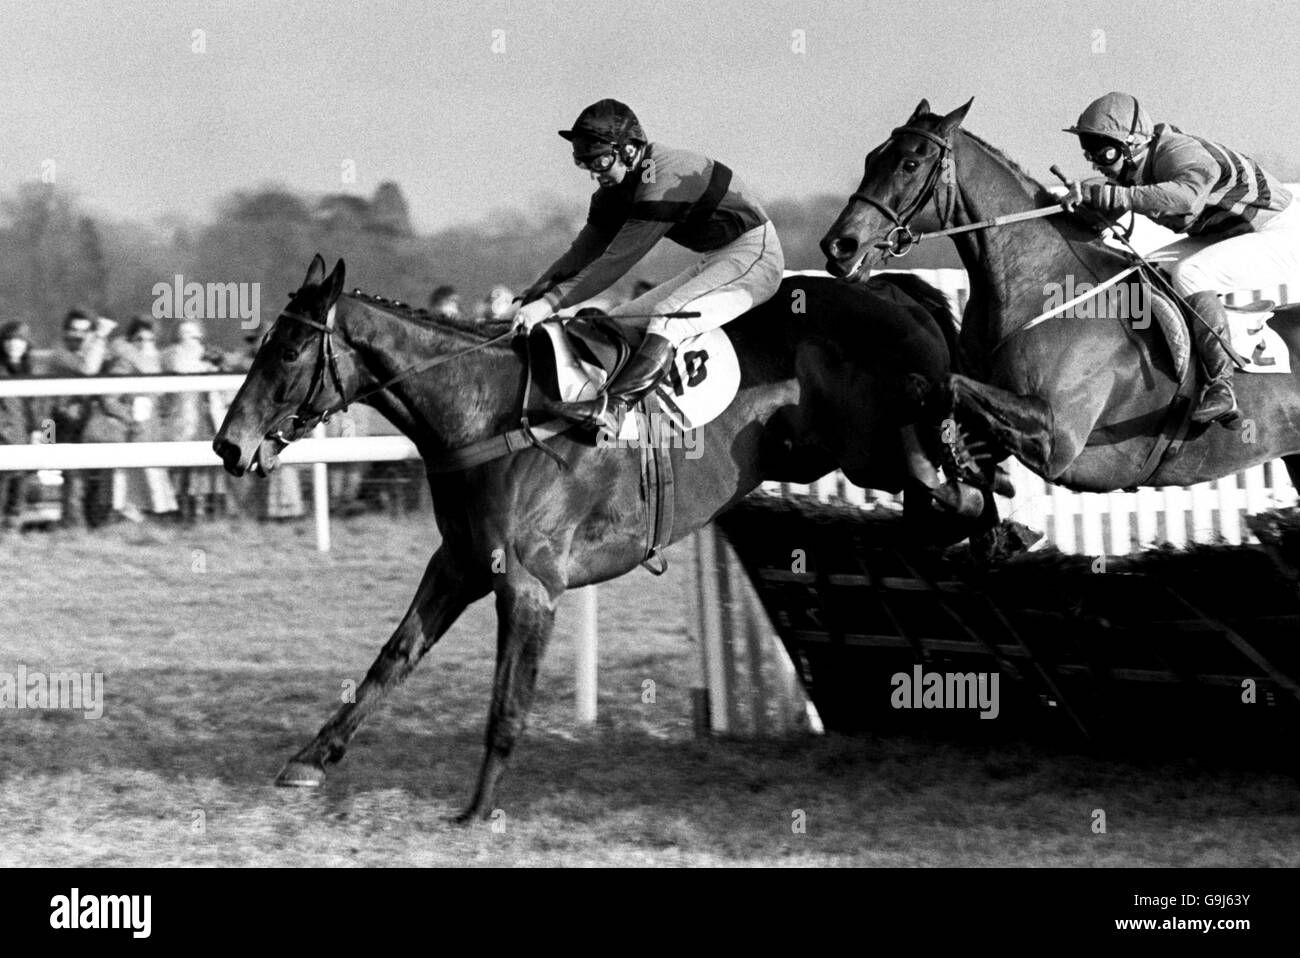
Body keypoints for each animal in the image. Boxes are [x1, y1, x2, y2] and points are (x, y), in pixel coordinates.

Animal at [213, 250, 961, 816]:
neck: (486, 416)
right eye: (263, 343)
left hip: (864, 447)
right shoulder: (458, 565)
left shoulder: (529, 586)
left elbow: (507, 700)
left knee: (947, 453)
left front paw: (478, 809)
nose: (228, 445)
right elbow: (391, 659)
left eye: (288, 350)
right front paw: (310, 759)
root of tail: (883, 290)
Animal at [821, 98, 1300, 501]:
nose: (838, 246)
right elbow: (929, 390)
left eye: (910, 163)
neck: (1039, 283)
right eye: (871, 159)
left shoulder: (1058, 440)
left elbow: (949, 385)